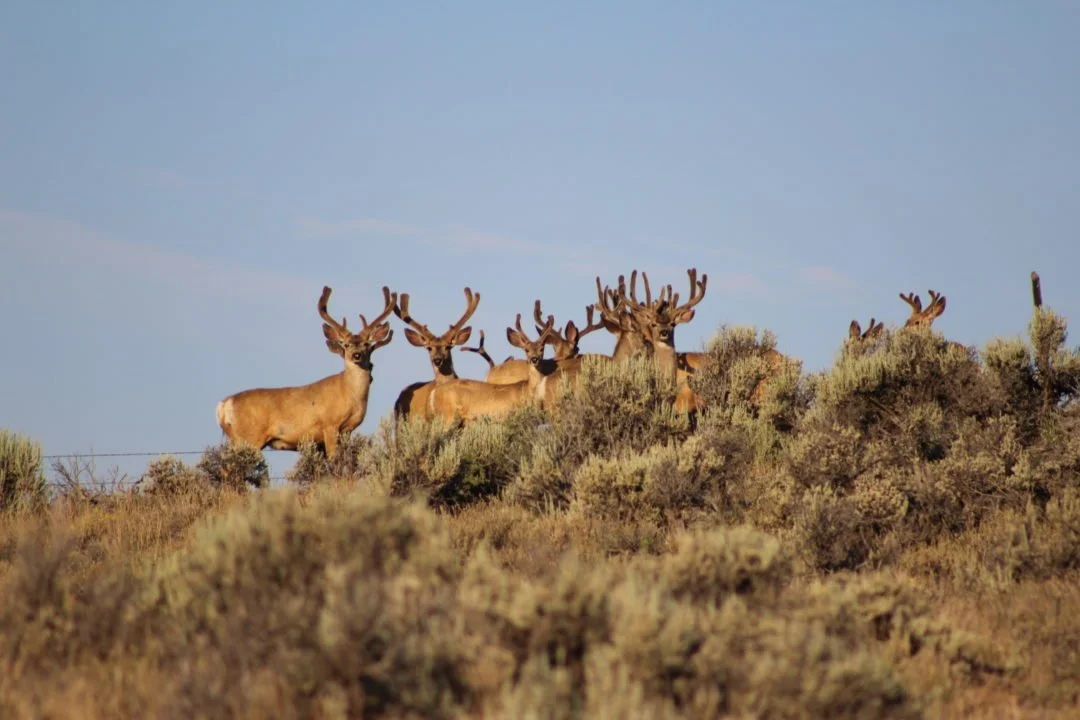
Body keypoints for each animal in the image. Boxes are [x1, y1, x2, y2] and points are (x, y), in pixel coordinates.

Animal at [216, 285, 396, 458]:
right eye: (345, 344)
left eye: (366, 344)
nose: (356, 355)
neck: (349, 394)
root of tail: (224, 405)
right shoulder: (330, 424)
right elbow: (334, 458)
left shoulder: (347, 430)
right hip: (249, 437)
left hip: (236, 438)